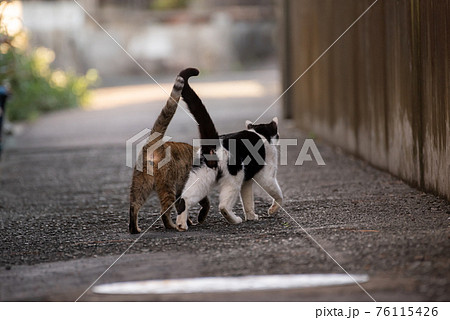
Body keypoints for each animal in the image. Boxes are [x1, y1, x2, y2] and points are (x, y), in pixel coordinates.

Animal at [175, 69, 282, 231]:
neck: (260, 133)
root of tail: (214, 144)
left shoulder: (247, 181)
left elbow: (248, 200)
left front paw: (251, 216)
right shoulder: (267, 173)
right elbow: (277, 193)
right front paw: (273, 209)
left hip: (202, 178)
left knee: (184, 199)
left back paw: (181, 224)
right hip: (233, 178)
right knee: (223, 206)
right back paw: (234, 219)